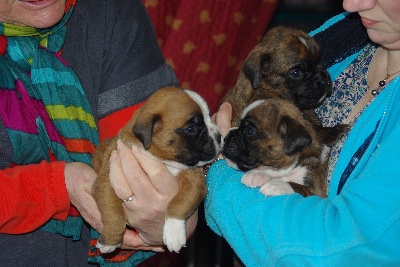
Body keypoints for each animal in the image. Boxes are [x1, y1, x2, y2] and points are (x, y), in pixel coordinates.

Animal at [92, 87, 220, 254]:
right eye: (191, 128)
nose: (219, 136)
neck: (160, 159)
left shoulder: (194, 183)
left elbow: (178, 203)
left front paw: (173, 233)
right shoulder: (106, 182)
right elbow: (113, 213)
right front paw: (110, 240)